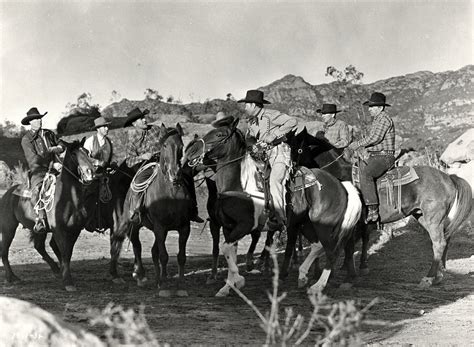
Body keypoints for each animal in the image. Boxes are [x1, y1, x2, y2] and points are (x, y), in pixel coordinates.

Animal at [0, 141, 96, 290]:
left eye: (86, 151)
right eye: (74, 154)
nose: (90, 172)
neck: (67, 197)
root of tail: (8, 193)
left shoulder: (74, 230)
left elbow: (67, 253)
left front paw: (64, 274)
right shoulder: (59, 230)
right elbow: (64, 253)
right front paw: (68, 281)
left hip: (39, 229)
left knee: (39, 246)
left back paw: (56, 270)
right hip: (8, 228)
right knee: (4, 250)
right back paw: (12, 277)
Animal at [110, 123, 193, 298]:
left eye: (181, 146)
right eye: (164, 145)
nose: (175, 174)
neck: (171, 194)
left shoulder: (184, 227)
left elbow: (181, 257)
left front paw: (180, 286)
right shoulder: (160, 227)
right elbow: (163, 256)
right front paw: (165, 288)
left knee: (152, 250)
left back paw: (157, 279)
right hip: (132, 223)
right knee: (135, 244)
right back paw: (140, 275)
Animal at [185, 119, 362, 296]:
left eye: (219, 134)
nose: (191, 151)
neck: (240, 183)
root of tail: (342, 185)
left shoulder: (245, 225)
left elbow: (225, 248)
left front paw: (239, 280)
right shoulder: (229, 228)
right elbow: (230, 253)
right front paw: (227, 287)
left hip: (322, 226)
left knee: (332, 252)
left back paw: (318, 285)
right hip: (306, 224)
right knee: (317, 246)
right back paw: (303, 276)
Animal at [284, 128, 472, 288]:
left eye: (298, 149)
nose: (291, 174)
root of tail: (448, 177)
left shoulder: (350, 223)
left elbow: (347, 248)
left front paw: (348, 278)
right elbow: (344, 247)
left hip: (433, 219)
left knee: (439, 243)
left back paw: (428, 278)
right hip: (423, 217)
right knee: (442, 241)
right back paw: (438, 276)